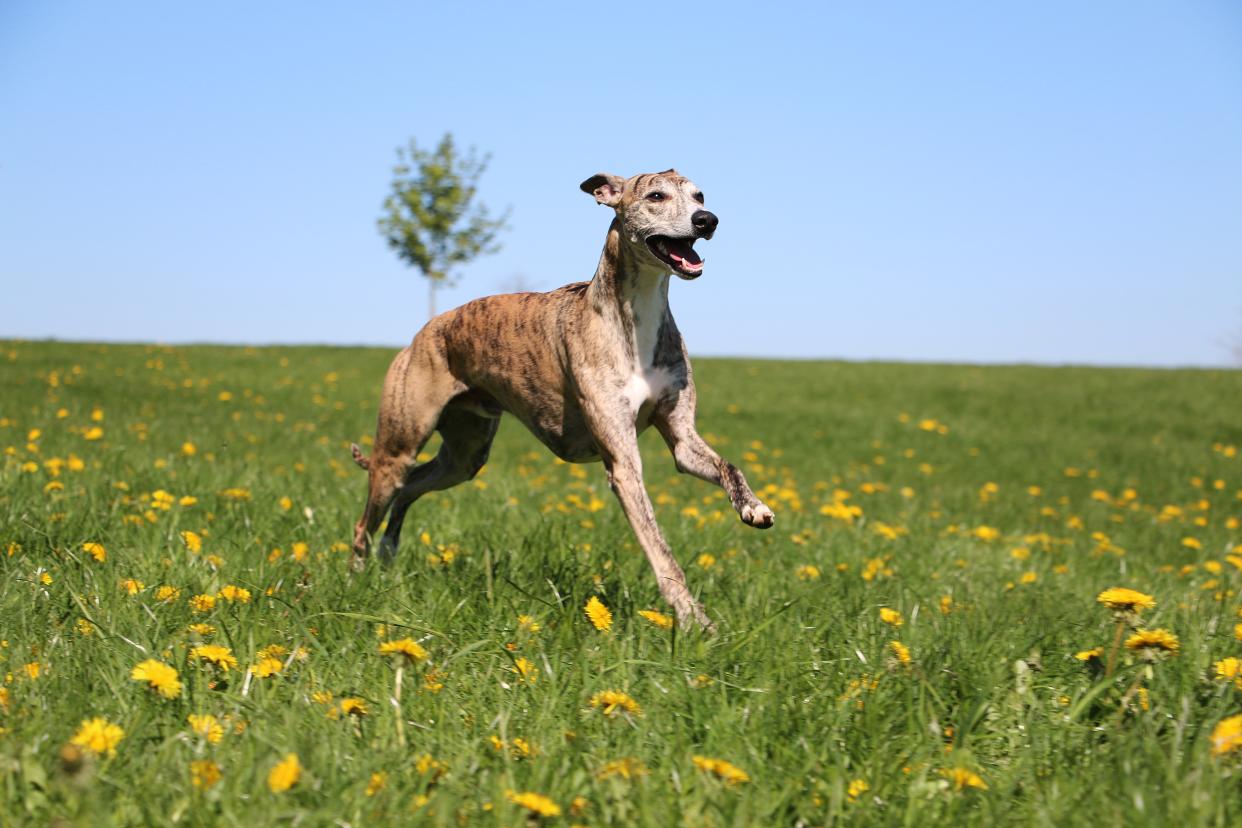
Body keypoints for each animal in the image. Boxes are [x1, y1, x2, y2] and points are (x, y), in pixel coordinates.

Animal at [350, 171, 770, 630]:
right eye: (656, 195)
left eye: (700, 195)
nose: (707, 220)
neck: (635, 314)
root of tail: (424, 332)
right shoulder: (623, 464)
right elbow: (660, 548)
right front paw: (694, 619)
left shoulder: (681, 437)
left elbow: (727, 466)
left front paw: (753, 507)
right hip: (399, 445)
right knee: (368, 517)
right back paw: (357, 579)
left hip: (465, 455)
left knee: (410, 487)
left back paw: (388, 553)